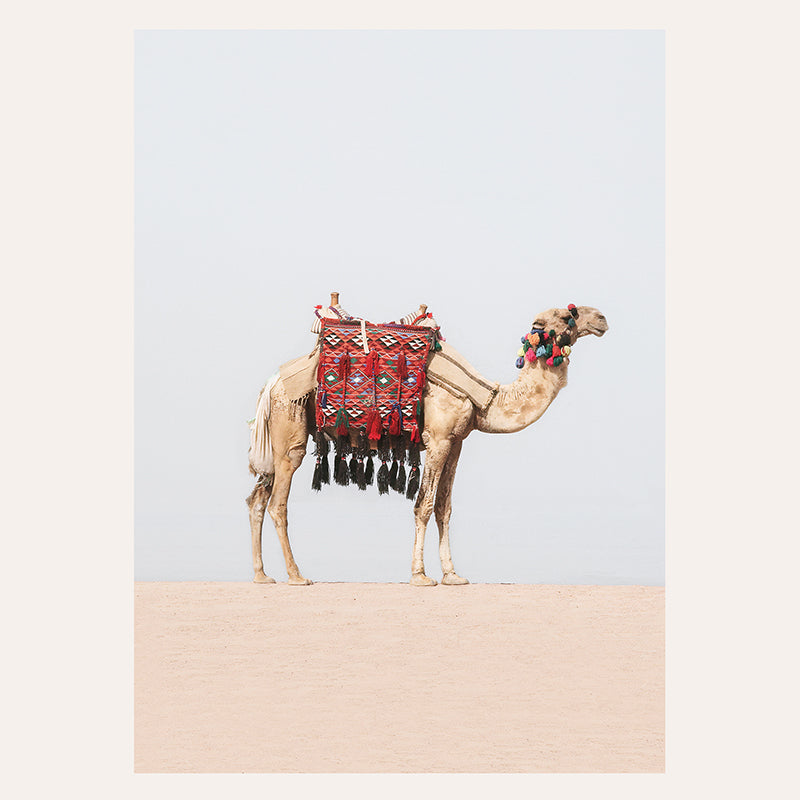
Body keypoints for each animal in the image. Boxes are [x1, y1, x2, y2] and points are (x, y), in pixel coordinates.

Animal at [246, 296, 608, 585]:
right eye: (567, 315)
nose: (602, 318)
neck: (486, 400)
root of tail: (271, 383)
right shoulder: (438, 438)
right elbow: (424, 504)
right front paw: (420, 575)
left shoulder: (456, 442)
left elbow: (444, 508)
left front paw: (452, 575)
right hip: (290, 424)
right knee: (279, 501)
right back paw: (296, 576)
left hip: (277, 436)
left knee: (257, 499)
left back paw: (262, 576)